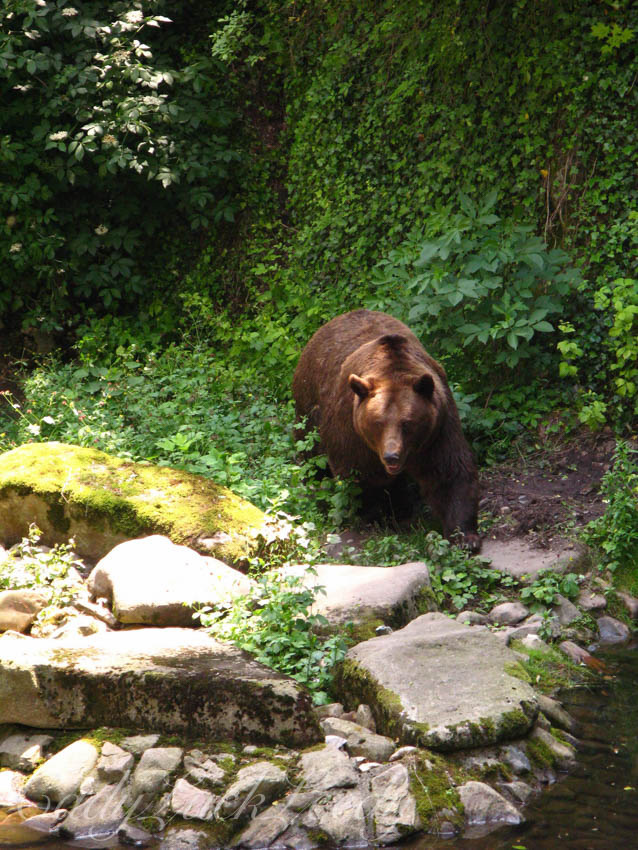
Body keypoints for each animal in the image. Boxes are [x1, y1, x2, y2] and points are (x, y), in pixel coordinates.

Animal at [292, 309, 480, 551]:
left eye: (407, 423)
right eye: (378, 422)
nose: (392, 456)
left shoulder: (439, 427)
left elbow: (449, 472)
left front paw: (464, 536)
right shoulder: (351, 432)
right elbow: (360, 478)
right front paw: (377, 517)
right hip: (309, 404)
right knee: (310, 453)